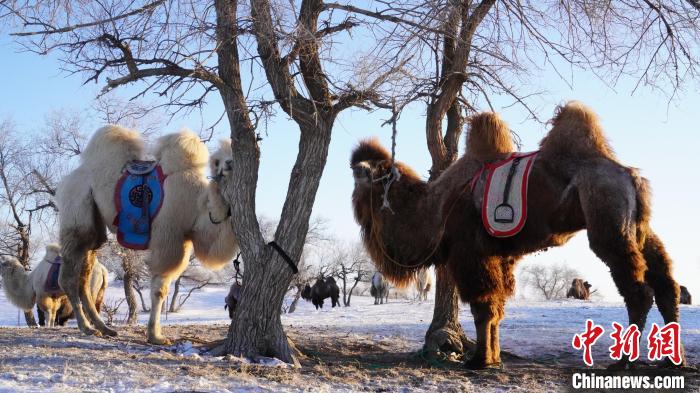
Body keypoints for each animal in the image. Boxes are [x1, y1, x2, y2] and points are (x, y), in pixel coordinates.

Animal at [57, 125, 238, 344]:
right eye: (217, 161)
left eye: (232, 154)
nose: (229, 163)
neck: (196, 207)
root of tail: (65, 182)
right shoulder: (167, 237)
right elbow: (160, 289)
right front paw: (155, 336)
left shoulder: (183, 241)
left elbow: (164, 287)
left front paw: (156, 334)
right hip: (76, 215)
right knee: (68, 277)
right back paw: (87, 328)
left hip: (94, 230)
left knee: (84, 276)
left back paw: (104, 328)